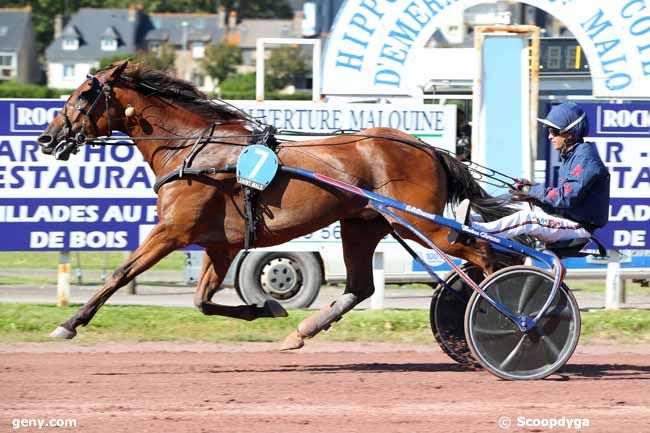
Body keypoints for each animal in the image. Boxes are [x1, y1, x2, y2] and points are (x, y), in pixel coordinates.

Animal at [38, 62, 506, 350]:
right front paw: (267, 306)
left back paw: (501, 314)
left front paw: (69, 323)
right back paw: (301, 331)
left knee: (482, 253)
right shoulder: (220, 245)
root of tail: (430, 149)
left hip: (416, 221)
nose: (46, 137)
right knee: (360, 286)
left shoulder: (172, 231)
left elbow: (120, 274)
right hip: (365, 224)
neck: (194, 150)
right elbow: (202, 300)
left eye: (83, 95)